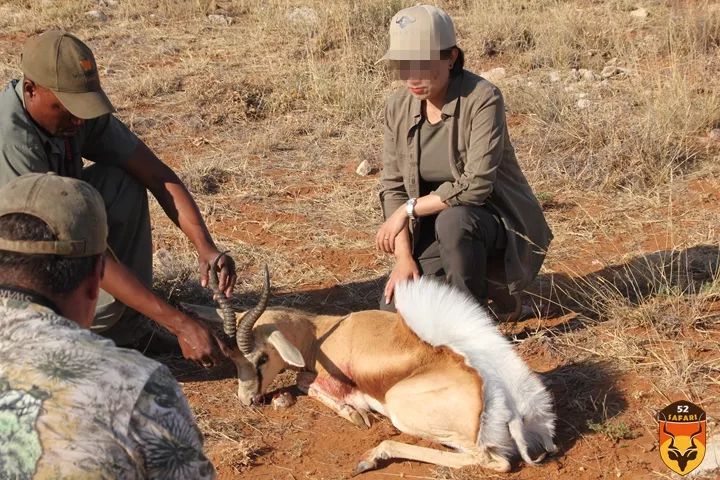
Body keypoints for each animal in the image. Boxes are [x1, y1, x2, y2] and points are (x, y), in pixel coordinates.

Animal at [187, 270, 556, 472]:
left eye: (262, 358)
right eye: (234, 359)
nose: (246, 399)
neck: (323, 332)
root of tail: (506, 401)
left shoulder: (331, 380)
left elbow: (307, 383)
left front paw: (357, 416)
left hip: (404, 410)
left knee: (492, 461)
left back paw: (372, 456)